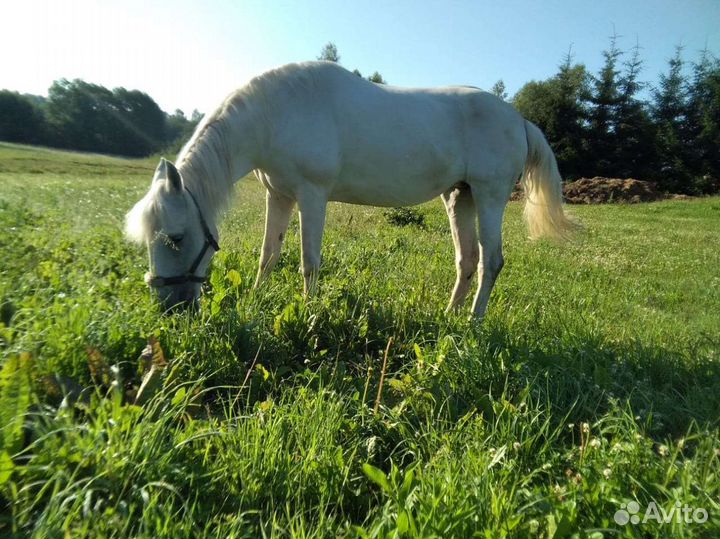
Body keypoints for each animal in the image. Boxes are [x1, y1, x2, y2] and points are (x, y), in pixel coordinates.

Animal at [125, 61, 576, 316]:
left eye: (176, 237)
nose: (169, 310)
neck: (275, 113)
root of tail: (519, 120)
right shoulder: (279, 195)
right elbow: (268, 255)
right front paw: (255, 299)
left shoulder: (311, 195)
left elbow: (308, 261)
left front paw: (309, 314)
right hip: (459, 196)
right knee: (467, 259)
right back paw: (449, 317)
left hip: (489, 195)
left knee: (491, 262)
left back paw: (473, 323)